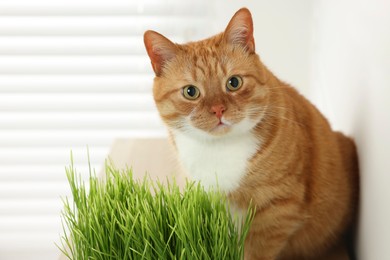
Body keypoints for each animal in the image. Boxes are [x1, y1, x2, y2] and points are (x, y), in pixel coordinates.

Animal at [144, 7, 360, 258]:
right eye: (190, 92)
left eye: (234, 83)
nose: (218, 109)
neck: (219, 150)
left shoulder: (278, 209)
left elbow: (254, 251)